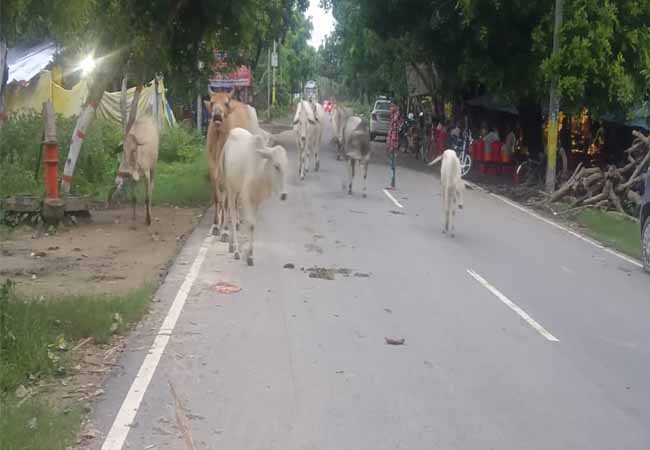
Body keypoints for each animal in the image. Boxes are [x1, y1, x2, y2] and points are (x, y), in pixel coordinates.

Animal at [223, 128, 289, 266]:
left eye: (287, 167)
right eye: (276, 166)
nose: (284, 195)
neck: (260, 172)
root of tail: (233, 131)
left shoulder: (257, 201)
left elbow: (253, 225)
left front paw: (250, 254)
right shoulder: (246, 198)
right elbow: (250, 223)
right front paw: (247, 254)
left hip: (236, 190)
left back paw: (231, 245)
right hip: (230, 188)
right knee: (232, 214)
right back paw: (235, 248)